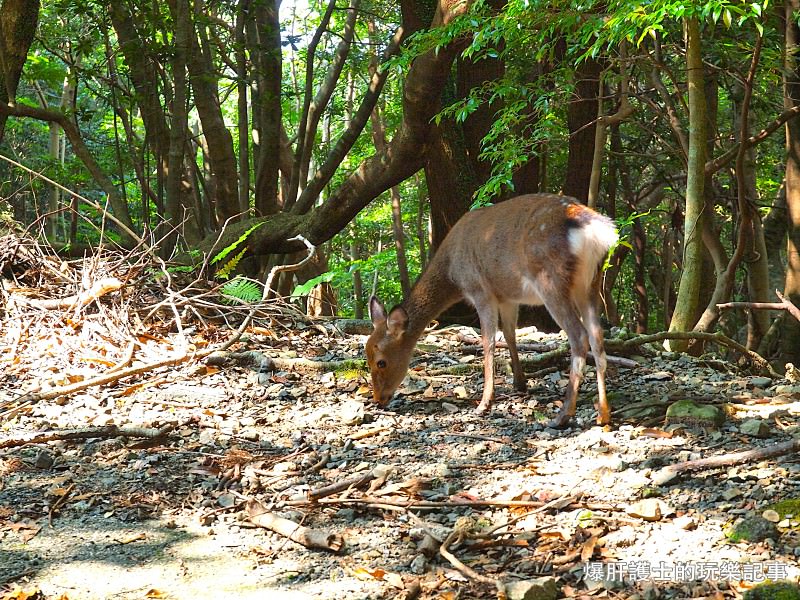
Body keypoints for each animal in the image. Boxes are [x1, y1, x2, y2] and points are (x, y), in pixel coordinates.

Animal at [364, 192, 620, 426]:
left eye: (381, 362)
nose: (378, 399)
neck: (453, 275)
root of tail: (600, 232)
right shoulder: (507, 297)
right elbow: (510, 334)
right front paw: (519, 383)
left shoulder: (481, 290)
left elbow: (488, 341)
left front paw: (485, 403)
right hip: (591, 283)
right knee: (597, 336)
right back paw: (603, 413)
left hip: (551, 281)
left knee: (579, 336)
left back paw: (563, 415)